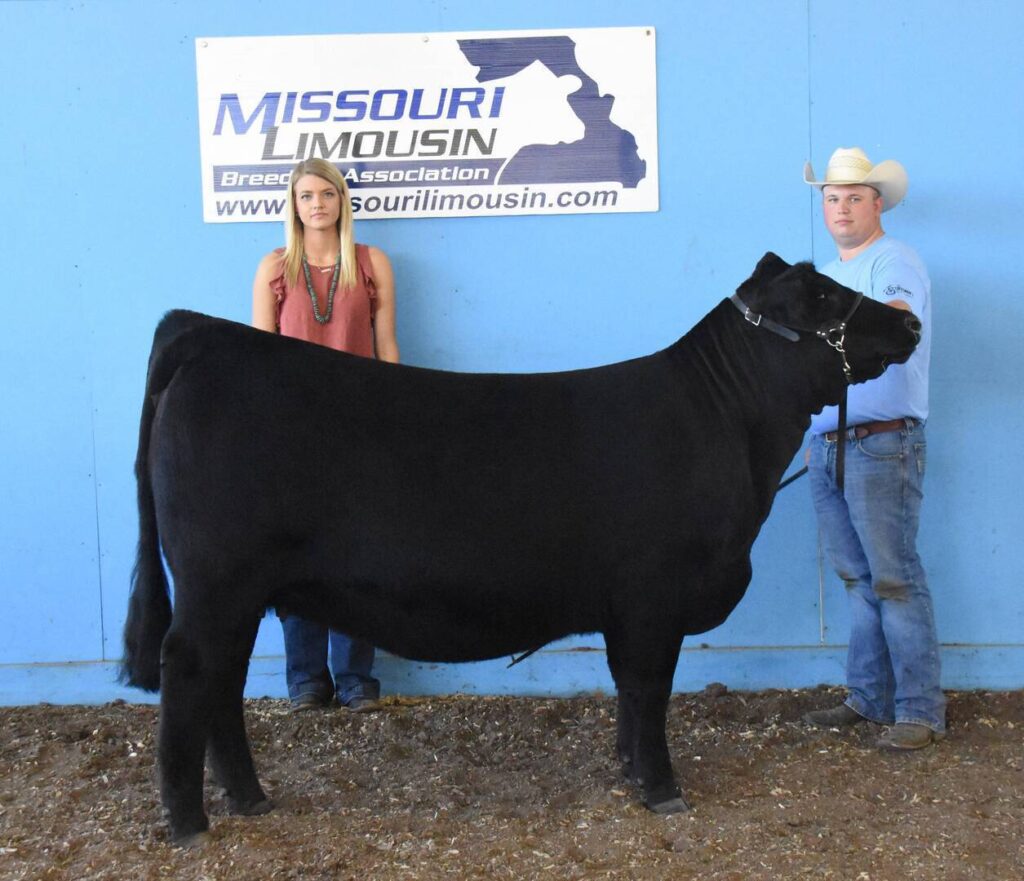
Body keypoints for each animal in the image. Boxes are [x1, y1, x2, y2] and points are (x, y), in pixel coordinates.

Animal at [122, 252, 920, 845]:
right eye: (821, 295)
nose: (910, 320)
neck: (723, 425)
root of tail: (206, 335)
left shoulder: (626, 609)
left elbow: (629, 690)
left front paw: (630, 772)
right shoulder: (653, 595)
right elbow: (650, 689)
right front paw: (663, 788)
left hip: (238, 591)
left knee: (222, 682)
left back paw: (250, 797)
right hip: (217, 580)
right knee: (190, 670)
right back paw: (188, 821)